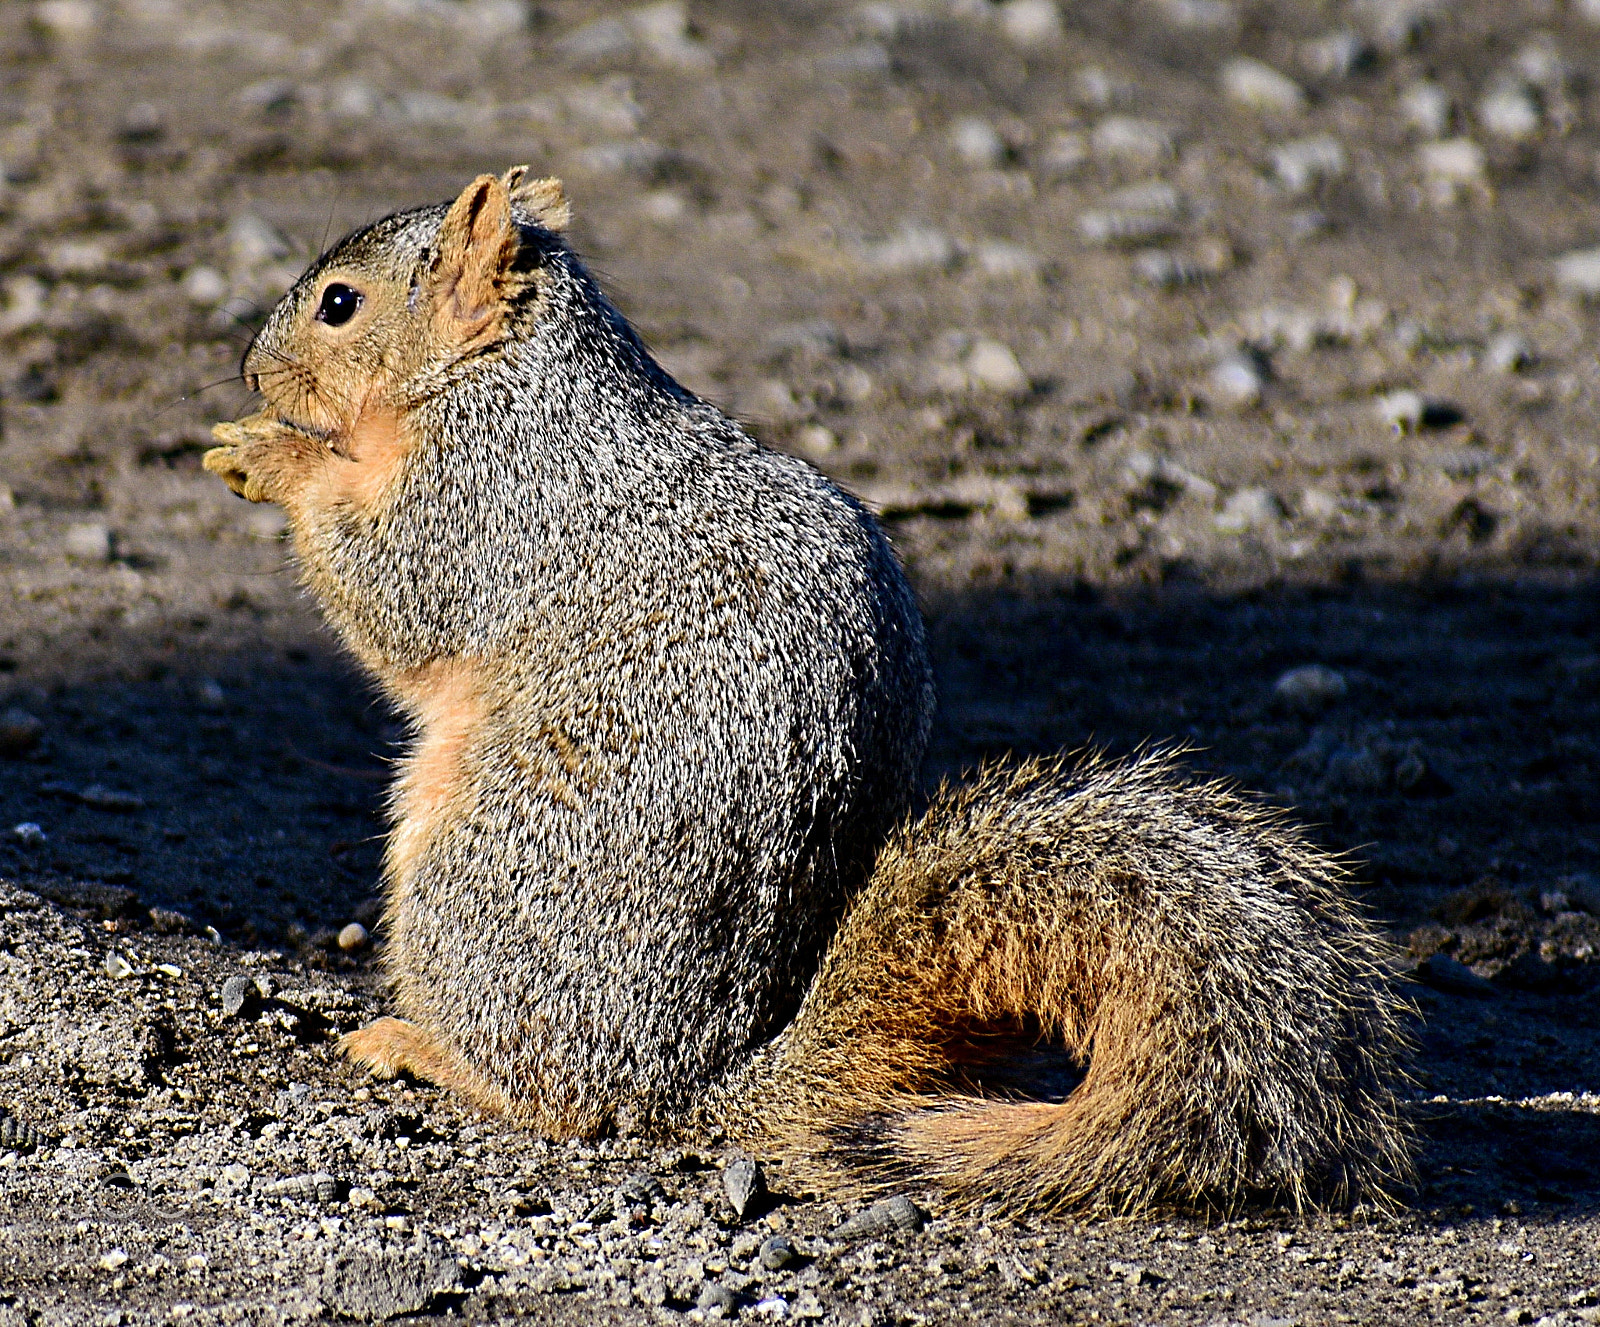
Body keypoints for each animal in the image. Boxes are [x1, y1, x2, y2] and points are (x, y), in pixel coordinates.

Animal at [203, 168, 1411, 1215]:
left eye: (341, 303)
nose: (252, 373)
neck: (506, 373)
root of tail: (687, 1084)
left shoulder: (486, 495)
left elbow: (394, 585)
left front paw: (271, 456)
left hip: (476, 874)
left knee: (555, 1096)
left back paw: (420, 1047)